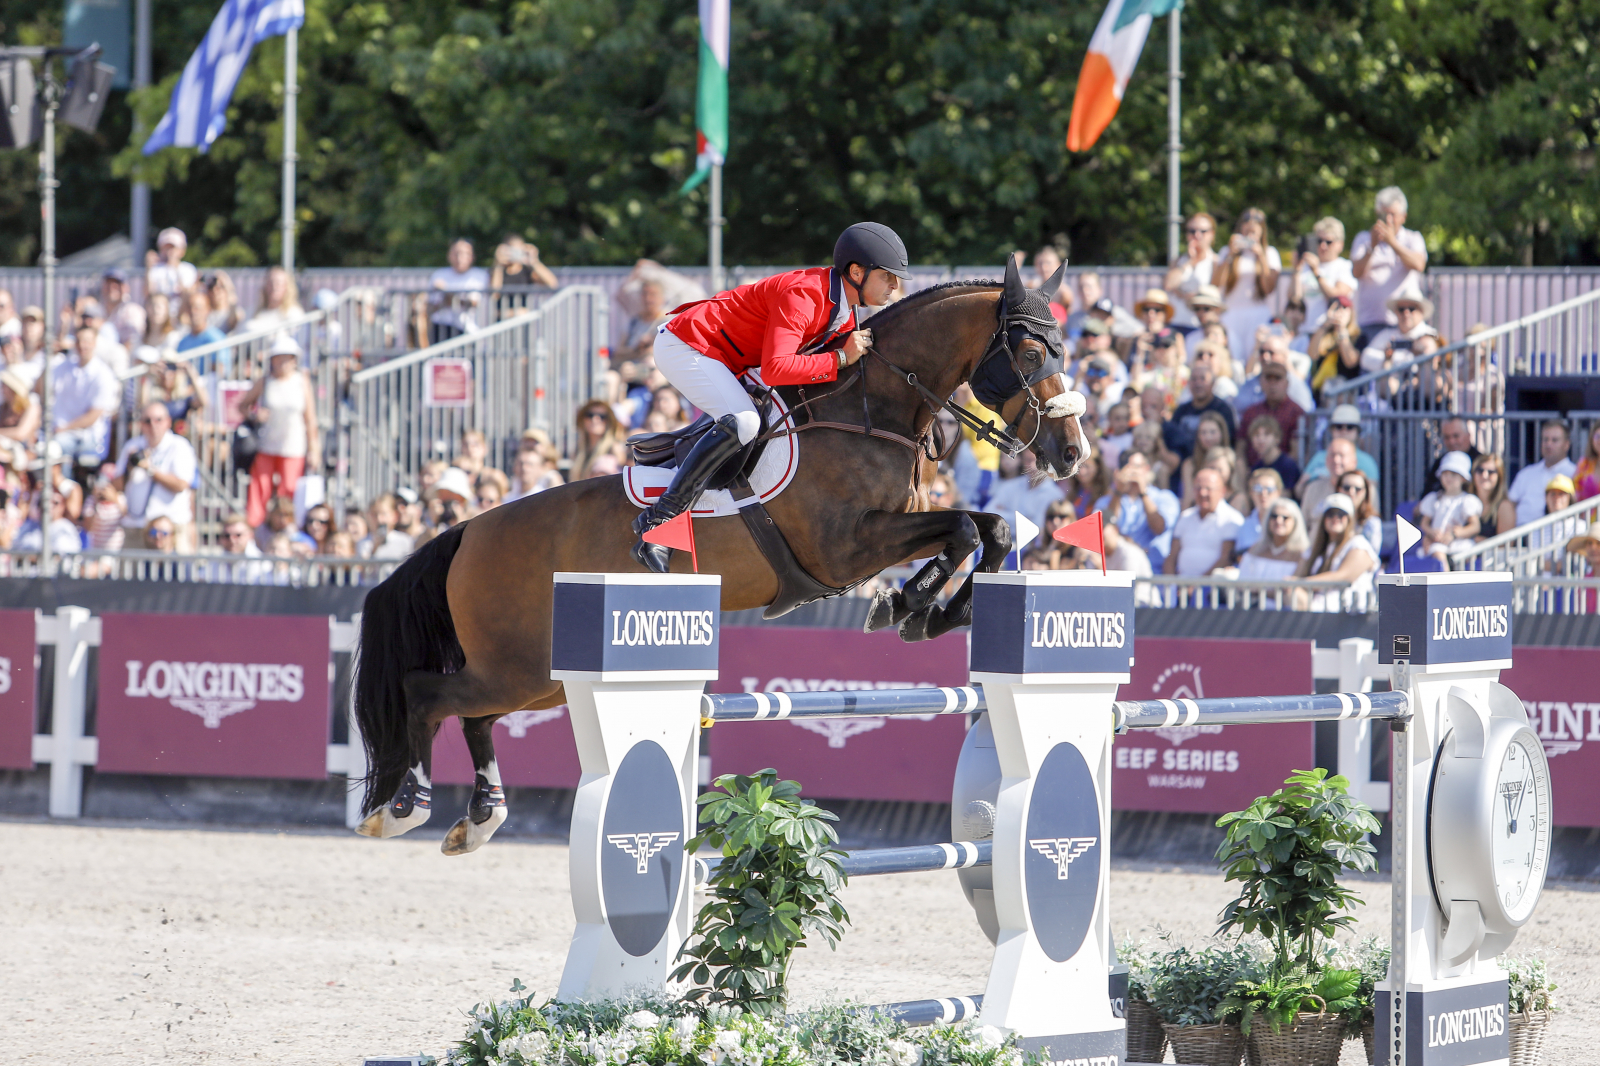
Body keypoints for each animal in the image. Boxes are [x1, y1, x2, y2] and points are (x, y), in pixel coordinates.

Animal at [356, 257, 1094, 857]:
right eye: (1032, 349)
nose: (1072, 453)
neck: (871, 410)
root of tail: (467, 532)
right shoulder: (846, 547)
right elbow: (966, 531)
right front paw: (908, 604)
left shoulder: (886, 532)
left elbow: (990, 529)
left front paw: (936, 613)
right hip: (515, 665)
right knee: (427, 696)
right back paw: (404, 809)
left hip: (533, 673)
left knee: (475, 715)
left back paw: (479, 818)